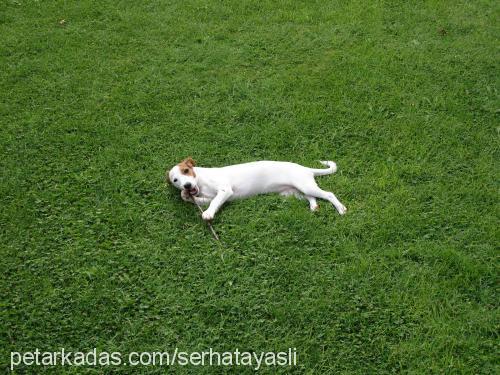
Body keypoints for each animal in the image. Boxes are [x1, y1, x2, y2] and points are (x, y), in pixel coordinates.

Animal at [168, 158, 348, 222]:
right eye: (175, 180)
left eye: (186, 171)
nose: (187, 186)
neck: (201, 180)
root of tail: (305, 168)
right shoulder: (210, 196)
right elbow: (205, 200)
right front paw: (185, 196)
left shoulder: (225, 191)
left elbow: (214, 203)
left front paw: (208, 213)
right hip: (295, 192)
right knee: (312, 197)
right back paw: (313, 207)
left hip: (304, 185)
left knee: (329, 194)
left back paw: (341, 209)